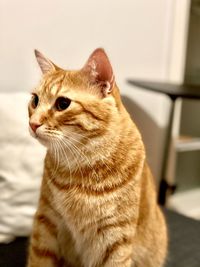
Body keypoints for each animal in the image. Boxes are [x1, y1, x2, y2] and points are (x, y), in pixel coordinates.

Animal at [26, 48, 167, 267]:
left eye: (62, 103)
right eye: (35, 100)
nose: (33, 123)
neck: (81, 166)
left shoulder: (115, 238)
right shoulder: (46, 222)